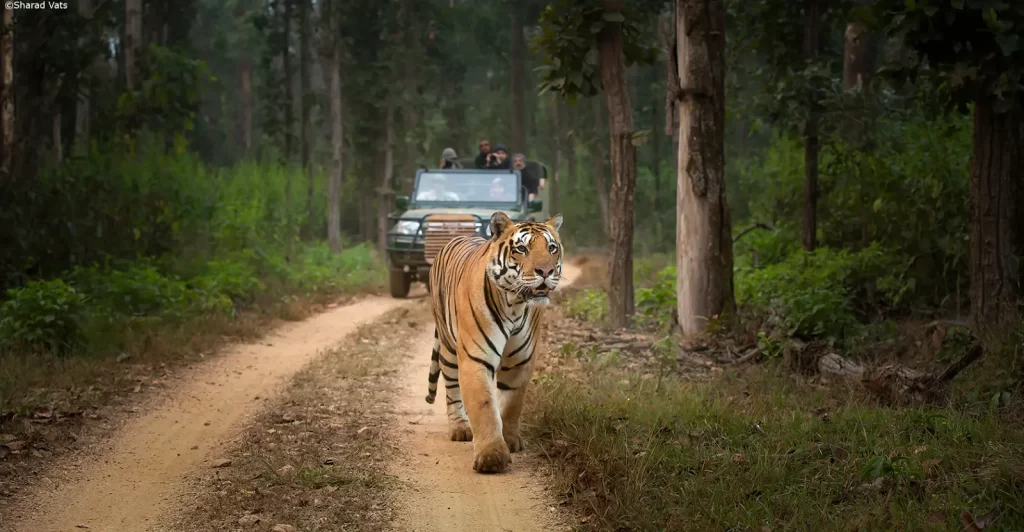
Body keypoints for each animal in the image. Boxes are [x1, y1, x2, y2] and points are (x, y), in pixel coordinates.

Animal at [425, 209, 569, 472]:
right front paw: (491, 456)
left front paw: (510, 440)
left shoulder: (520, 361)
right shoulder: (475, 358)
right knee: (451, 390)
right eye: (522, 249)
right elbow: (483, 406)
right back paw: (460, 428)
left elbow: (511, 404)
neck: (515, 304)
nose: (546, 272)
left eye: (552, 248)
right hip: (448, 348)